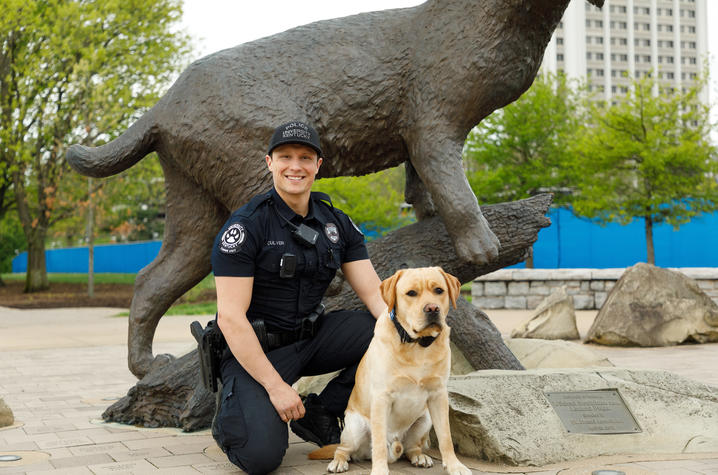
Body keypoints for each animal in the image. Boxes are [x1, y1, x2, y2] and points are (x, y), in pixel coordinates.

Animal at [310, 268, 472, 475]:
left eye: (439, 290)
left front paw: (454, 466)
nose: (432, 308)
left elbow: (446, 437)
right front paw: (379, 470)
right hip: (354, 428)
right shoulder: (382, 397)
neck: (417, 345)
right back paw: (339, 462)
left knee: (412, 447)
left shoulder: (439, 395)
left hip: (425, 419)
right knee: (343, 448)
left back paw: (419, 457)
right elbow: (378, 442)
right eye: (411, 293)